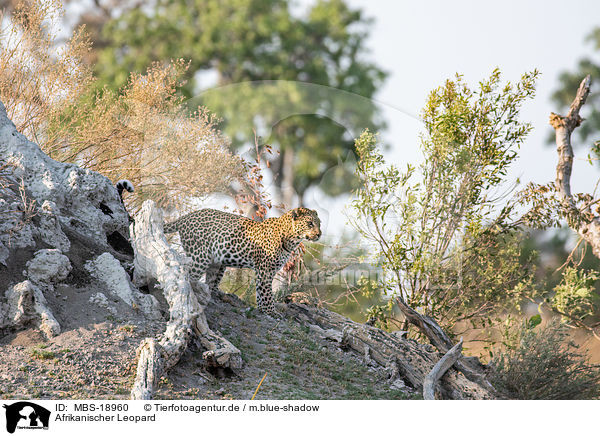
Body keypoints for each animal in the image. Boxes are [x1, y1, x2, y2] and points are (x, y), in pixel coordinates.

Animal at [164, 208, 322, 316]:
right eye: (310, 223)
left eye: (319, 224)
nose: (320, 234)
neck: (290, 238)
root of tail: (185, 217)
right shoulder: (265, 270)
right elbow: (267, 293)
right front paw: (271, 312)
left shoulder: (265, 271)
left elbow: (261, 292)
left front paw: (262, 310)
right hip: (200, 257)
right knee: (187, 275)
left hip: (216, 263)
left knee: (209, 282)